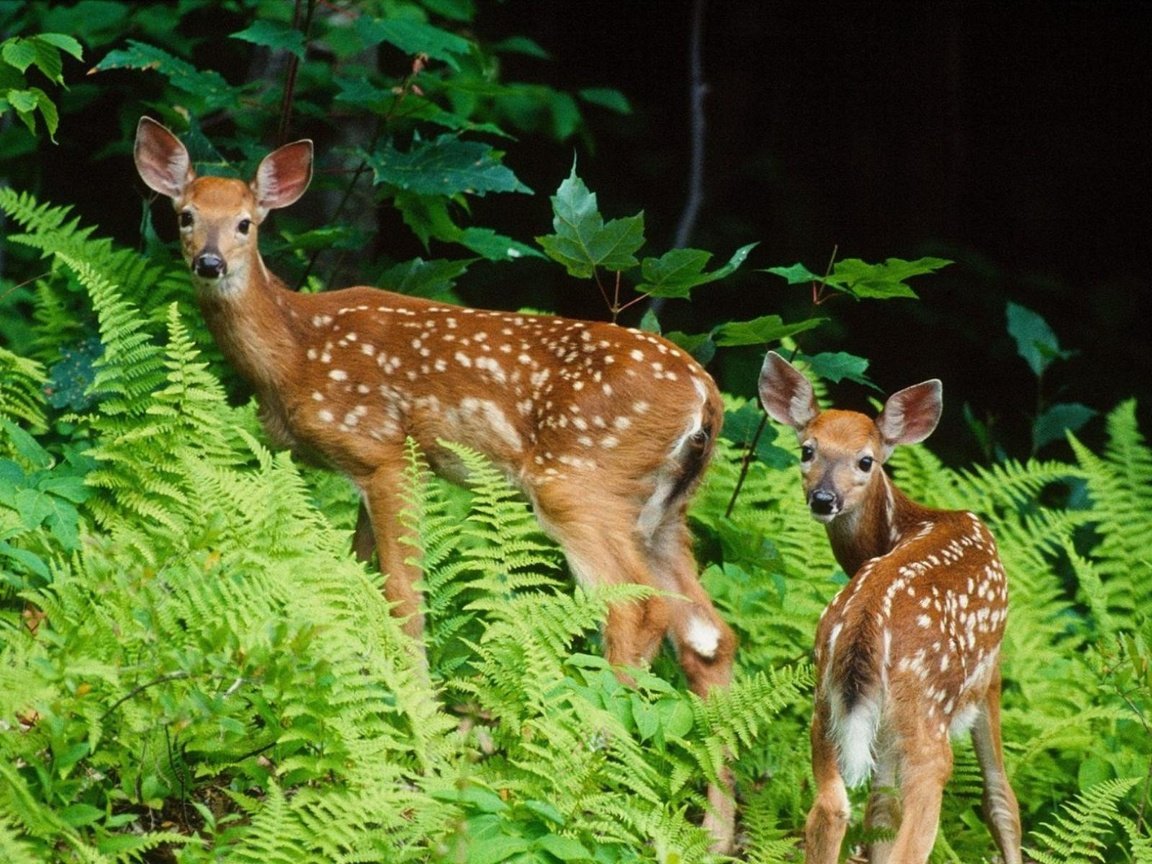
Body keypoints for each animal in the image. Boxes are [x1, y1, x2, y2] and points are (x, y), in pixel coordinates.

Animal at [132, 115, 737, 852]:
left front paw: (423, 744)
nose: (210, 263)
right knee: (709, 636)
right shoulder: (360, 475)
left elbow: (402, 602)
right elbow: (351, 590)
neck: (296, 353)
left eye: (247, 222)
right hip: (664, 512)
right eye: (186, 215)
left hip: (579, 480)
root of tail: (706, 397)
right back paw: (713, 836)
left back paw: (580, 777)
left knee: (635, 610)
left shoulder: (388, 453)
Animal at [764, 352, 1018, 864]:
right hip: (926, 713)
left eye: (866, 460)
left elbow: (878, 811)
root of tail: (863, 624)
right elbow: (1001, 798)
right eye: (807, 450)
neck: (910, 522)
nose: (824, 498)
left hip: (825, 705)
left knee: (833, 808)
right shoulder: (992, 670)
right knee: (915, 828)